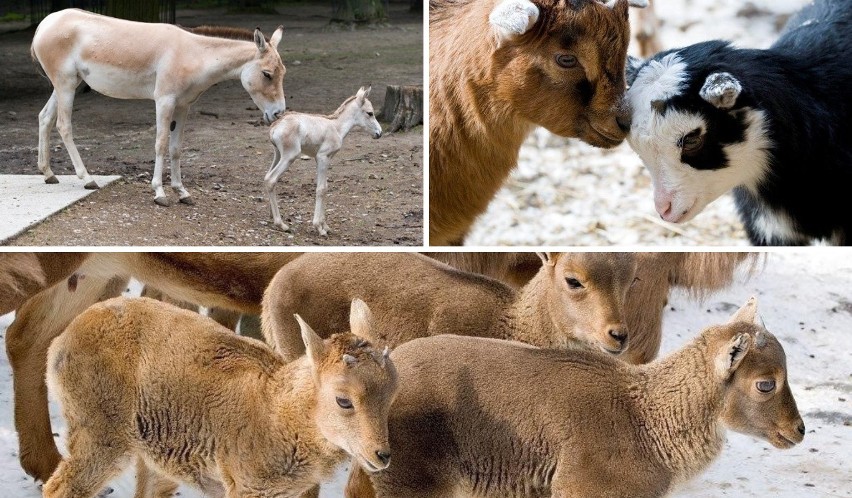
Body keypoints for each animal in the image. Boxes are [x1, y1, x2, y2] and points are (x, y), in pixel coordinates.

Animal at [30, 10, 286, 208]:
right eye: (267, 74)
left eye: (283, 73)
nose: (278, 114)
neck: (193, 54)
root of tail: (45, 23)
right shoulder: (164, 101)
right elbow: (161, 144)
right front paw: (160, 193)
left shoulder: (183, 105)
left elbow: (176, 148)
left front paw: (182, 192)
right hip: (64, 83)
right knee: (64, 126)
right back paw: (87, 178)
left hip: (68, 83)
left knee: (45, 117)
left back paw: (48, 173)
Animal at [264, 85, 382, 235]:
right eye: (370, 113)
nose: (379, 133)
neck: (336, 127)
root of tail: (275, 126)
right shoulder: (322, 157)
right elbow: (321, 189)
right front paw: (319, 228)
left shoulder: (325, 159)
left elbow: (325, 187)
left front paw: (325, 226)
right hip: (289, 156)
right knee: (271, 179)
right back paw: (281, 224)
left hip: (278, 154)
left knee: (267, 177)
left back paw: (273, 218)